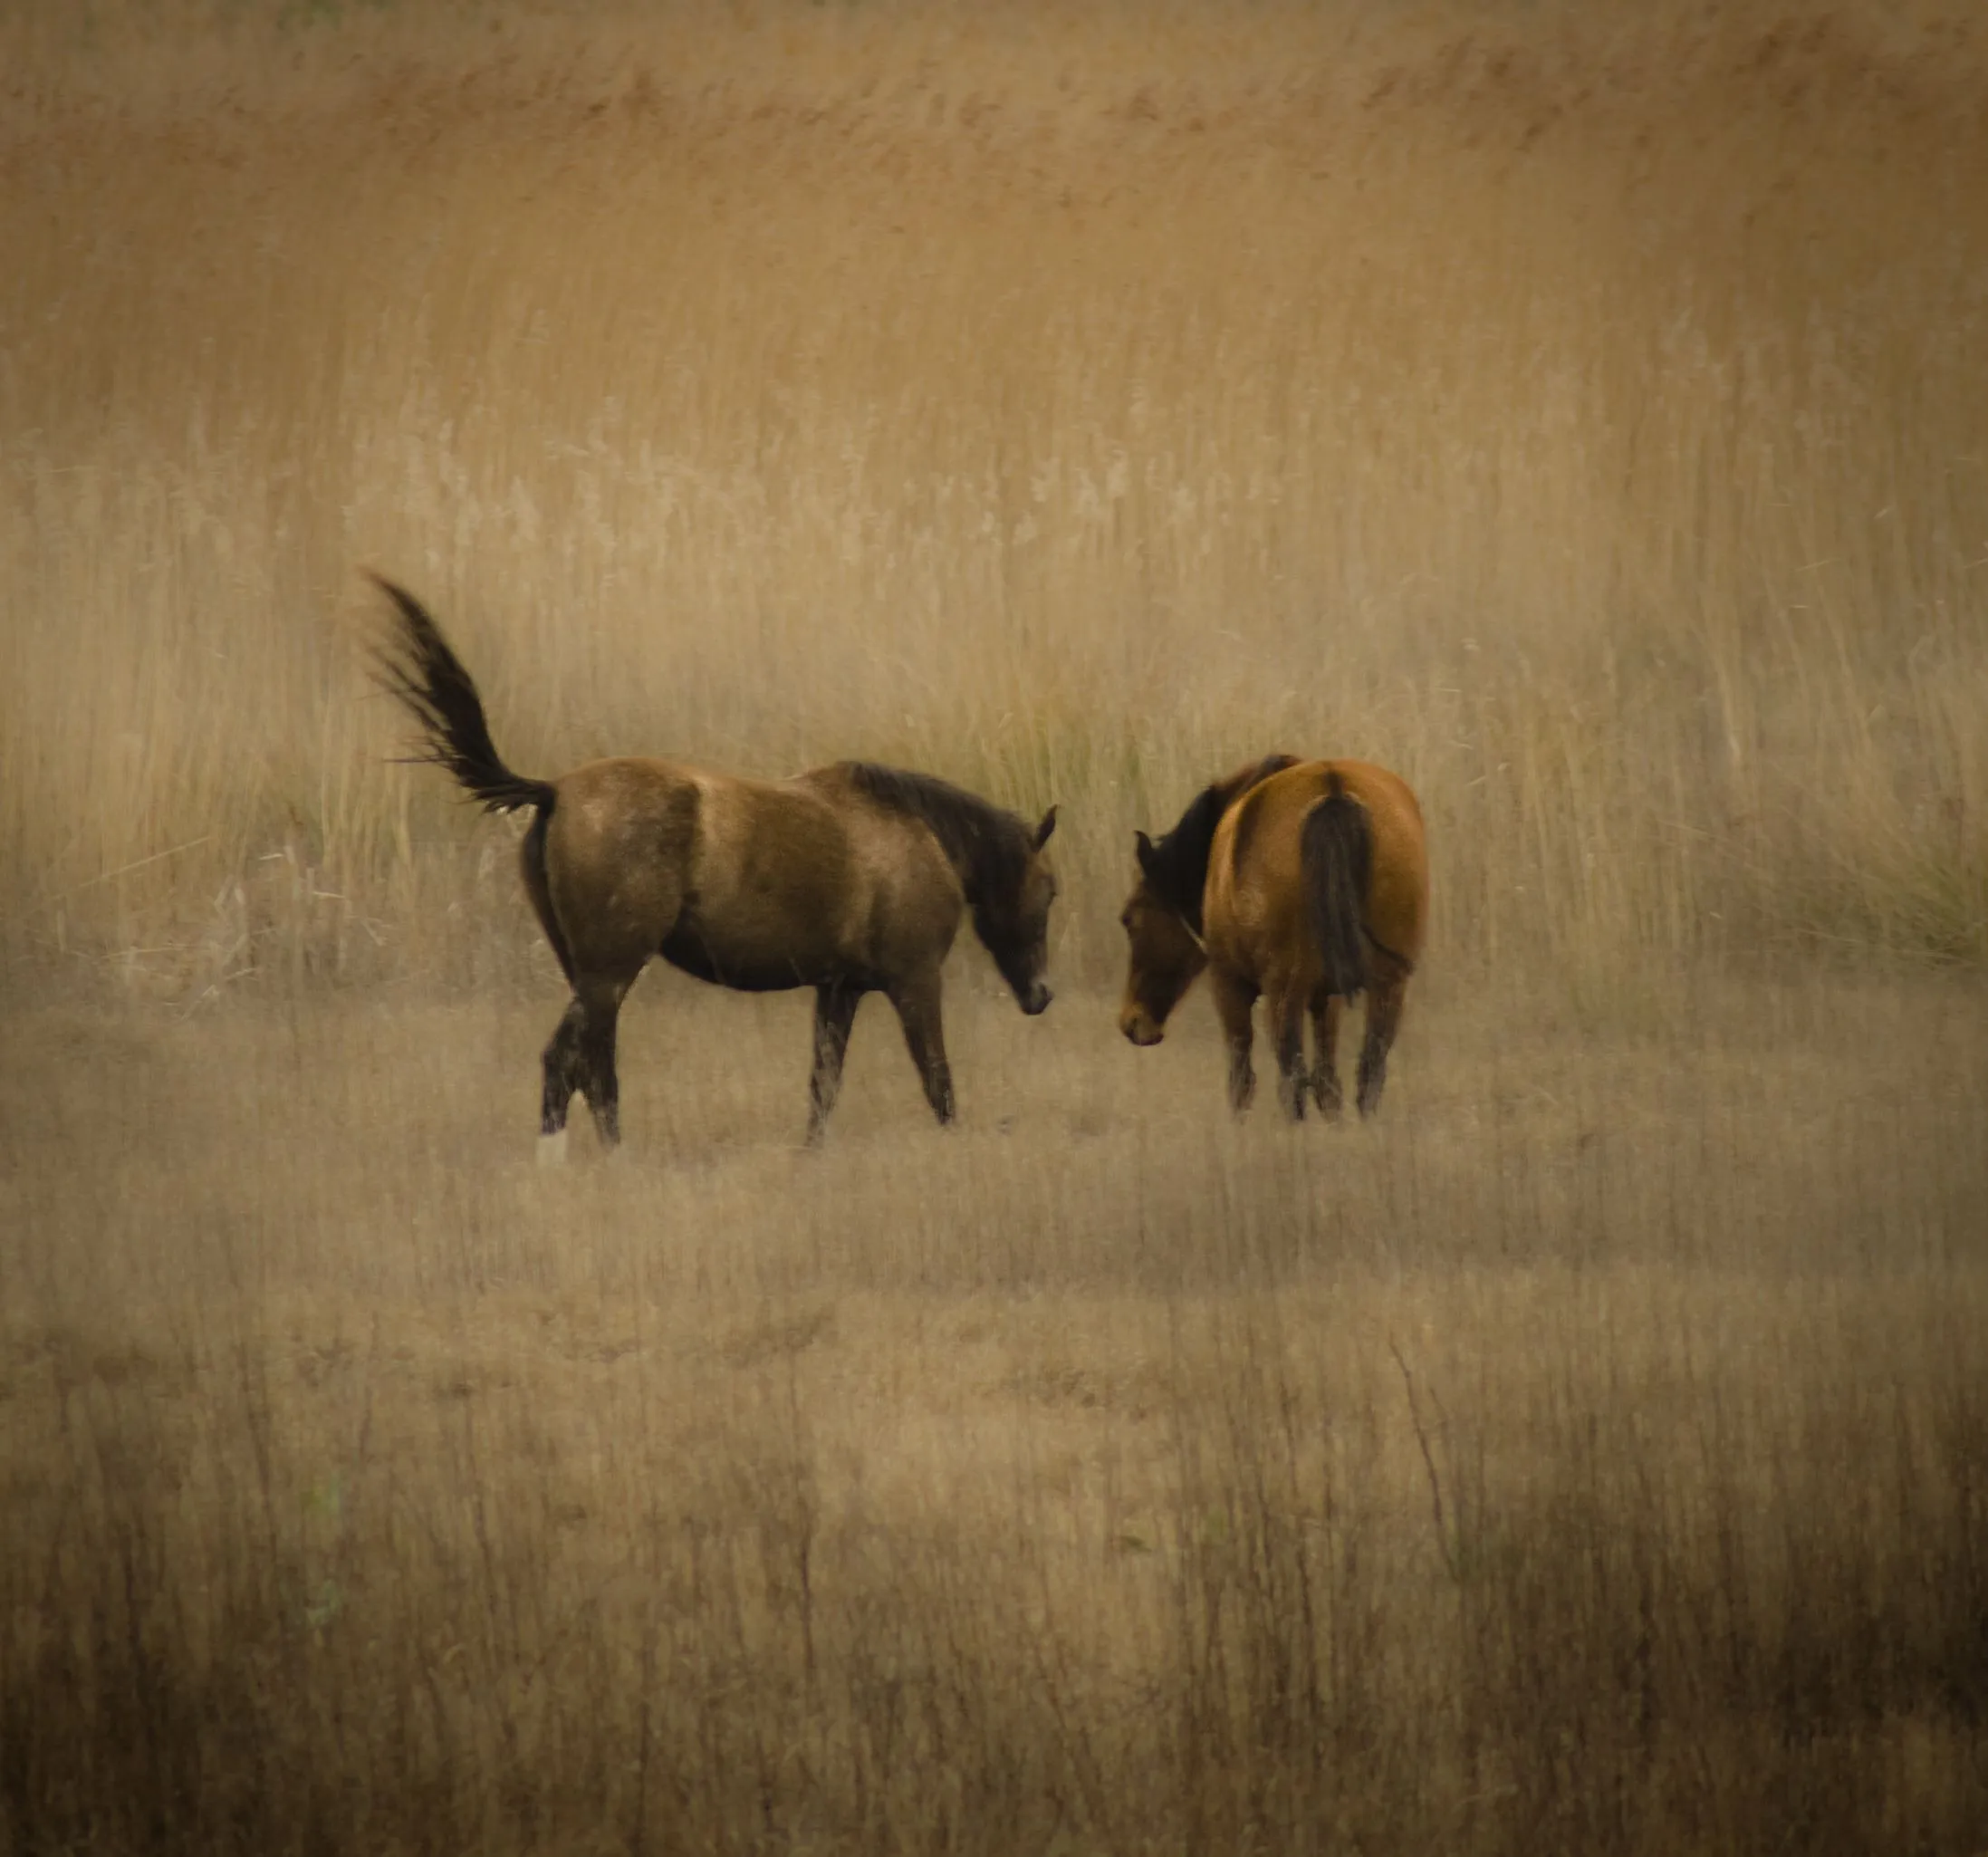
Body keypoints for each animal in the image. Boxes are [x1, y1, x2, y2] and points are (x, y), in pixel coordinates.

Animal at [371, 580, 1057, 1160]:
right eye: (1049, 891)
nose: (1042, 994)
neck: (918, 835)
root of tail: (554, 791)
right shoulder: (913, 982)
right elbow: (937, 1083)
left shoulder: (838, 991)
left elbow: (823, 1088)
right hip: (609, 974)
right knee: (569, 1064)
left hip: (590, 976)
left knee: (591, 1068)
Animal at [1120, 751, 1431, 1121]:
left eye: (1129, 919)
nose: (1131, 1022)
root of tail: (1333, 792)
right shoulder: (1326, 998)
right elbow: (1327, 1082)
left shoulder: (1229, 986)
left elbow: (1241, 1082)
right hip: (1387, 985)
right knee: (1369, 1069)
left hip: (1284, 991)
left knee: (1291, 1077)